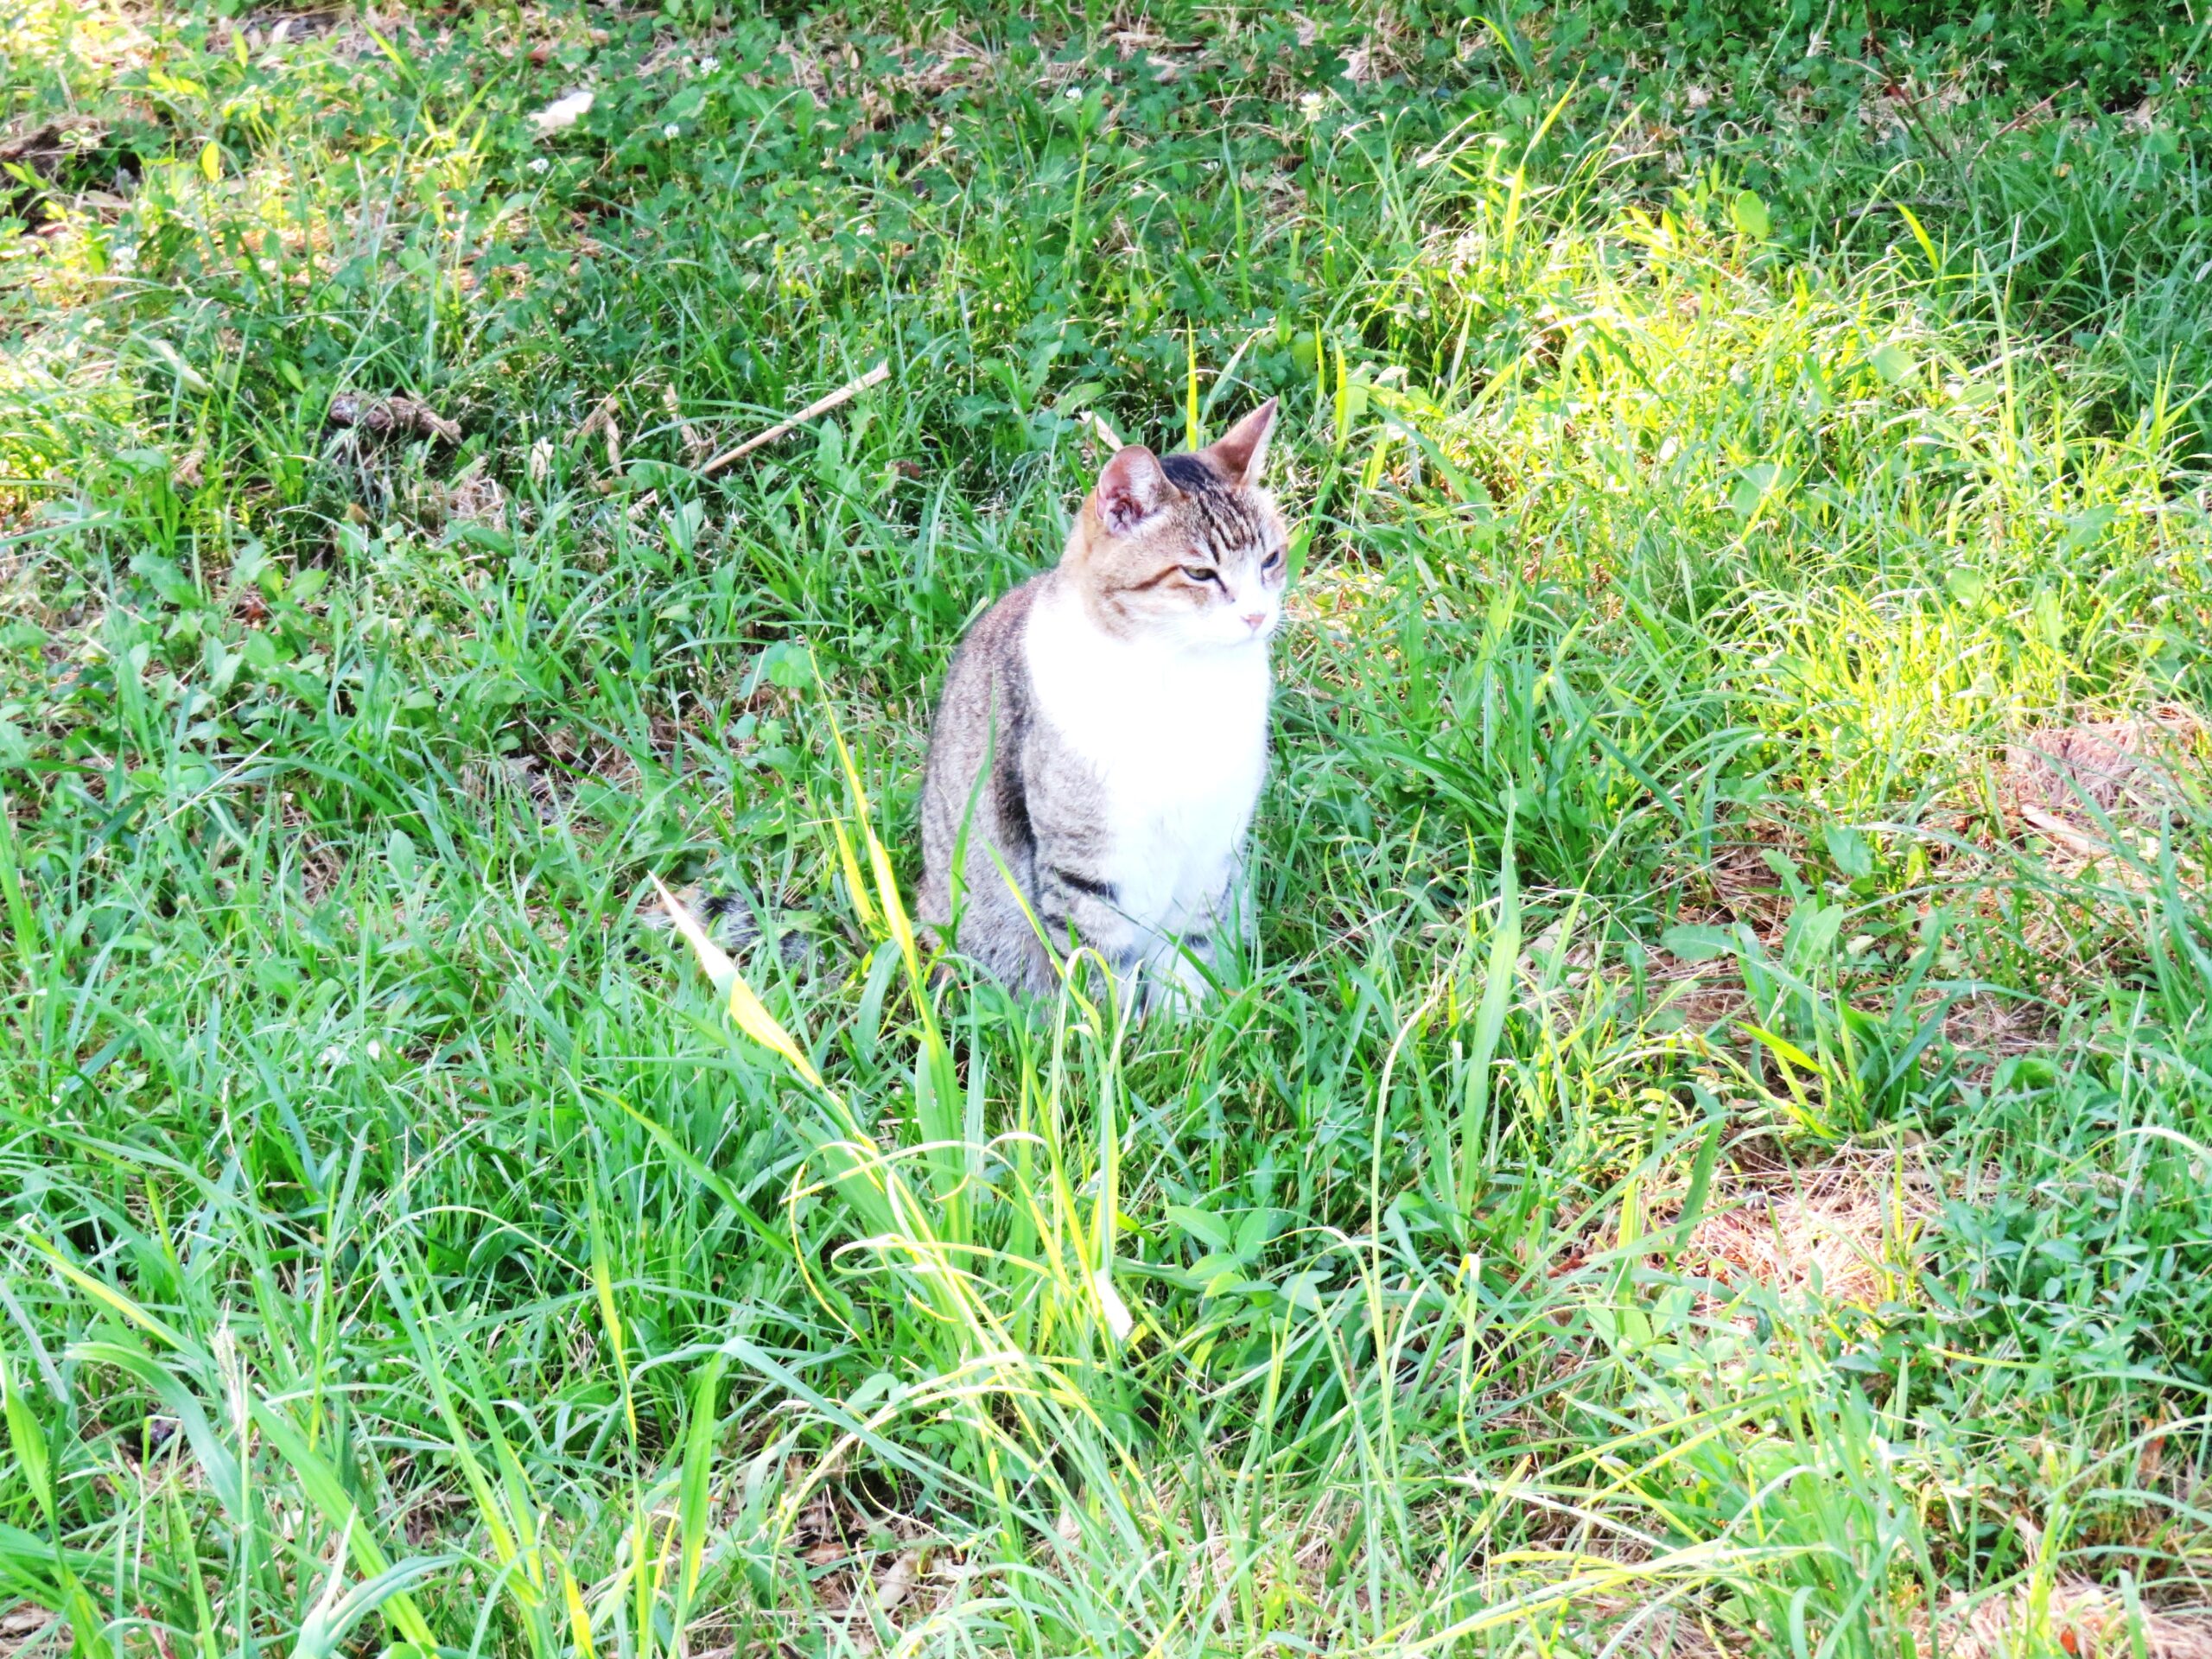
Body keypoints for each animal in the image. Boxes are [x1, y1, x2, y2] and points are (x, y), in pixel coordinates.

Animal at [919, 402, 1292, 1013]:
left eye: (1272, 559)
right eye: (1199, 573)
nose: (1257, 616)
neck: (1187, 683)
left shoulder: (1213, 849)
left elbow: (1188, 948)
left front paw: (1184, 1021)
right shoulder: (1084, 865)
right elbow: (1097, 966)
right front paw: (1117, 1033)